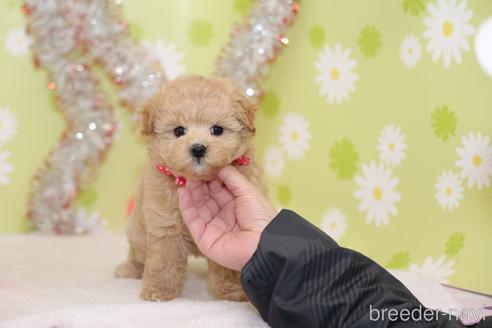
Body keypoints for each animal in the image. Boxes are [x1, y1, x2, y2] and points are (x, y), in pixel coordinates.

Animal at [114, 75, 266, 302]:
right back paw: (129, 268)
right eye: (179, 131)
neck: (199, 179)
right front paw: (158, 292)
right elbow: (163, 261)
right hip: (138, 230)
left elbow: (227, 265)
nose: (198, 148)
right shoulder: (164, 225)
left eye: (217, 130)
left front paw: (230, 291)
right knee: (137, 252)